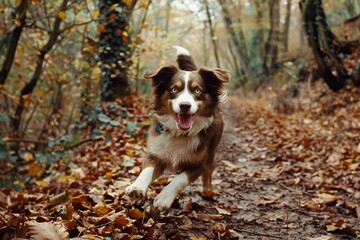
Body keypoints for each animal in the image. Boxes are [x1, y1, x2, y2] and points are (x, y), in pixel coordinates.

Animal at [125, 46, 229, 211]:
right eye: (174, 89)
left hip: (212, 152)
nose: (185, 105)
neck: (179, 133)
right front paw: (137, 187)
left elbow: (179, 180)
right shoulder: (156, 153)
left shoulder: (199, 164)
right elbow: (147, 171)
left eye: (197, 91)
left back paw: (207, 192)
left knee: (208, 173)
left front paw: (164, 199)